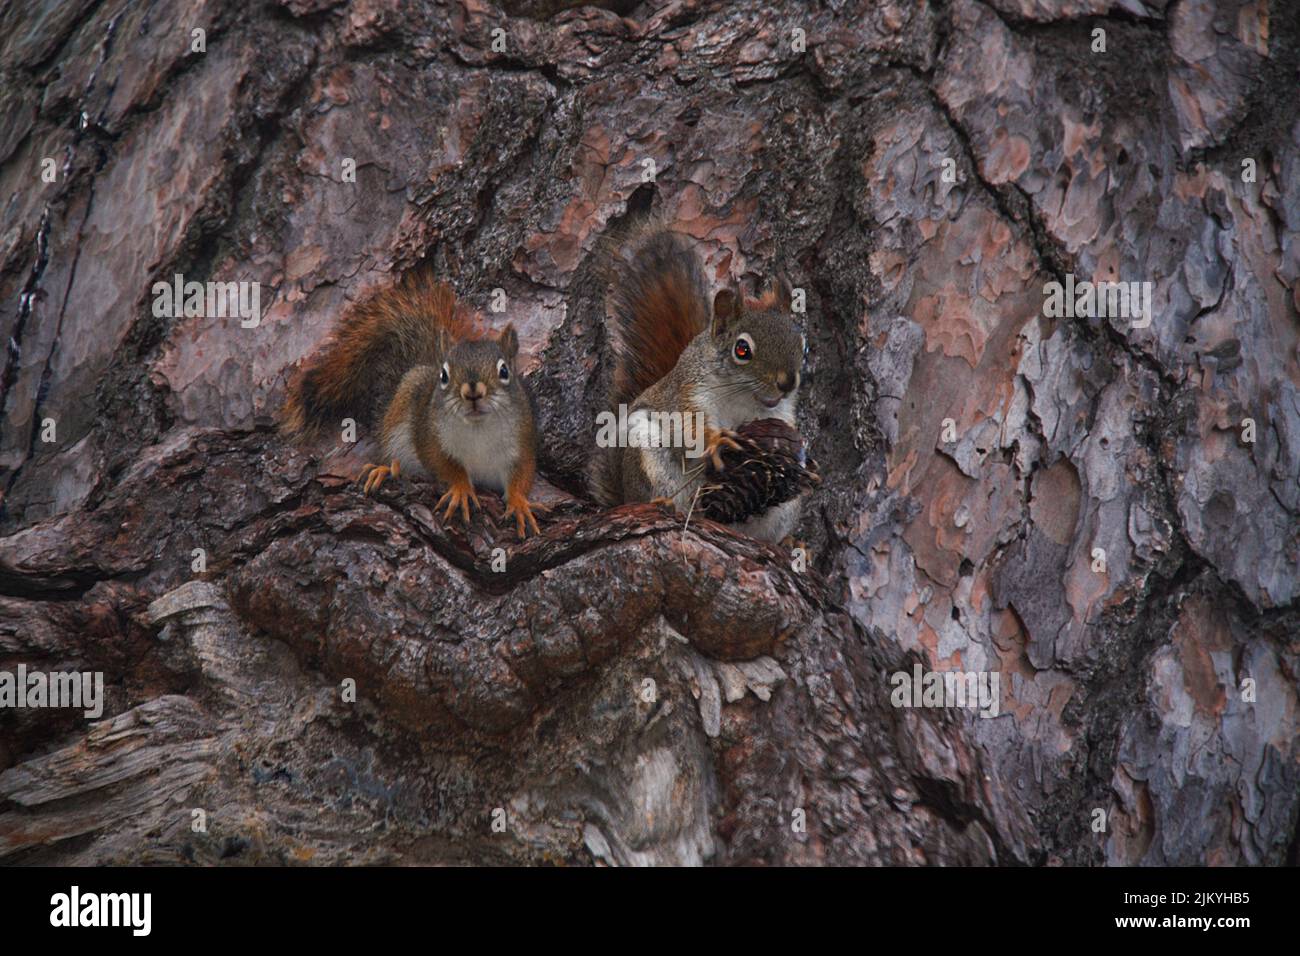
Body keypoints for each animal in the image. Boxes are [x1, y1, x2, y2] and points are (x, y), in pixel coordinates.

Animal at [283, 271, 542, 538]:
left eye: (504, 370)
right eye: (444, 375)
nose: (472, 392)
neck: (478, 428)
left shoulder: (522, 441)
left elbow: (522, 474)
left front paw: (519, 503)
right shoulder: (429, 436)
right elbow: (444, 465)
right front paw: (460, 489)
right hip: (401, 409)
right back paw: (386, 470)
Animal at [590, 226, 807, 543]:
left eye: (803, 345)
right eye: (742, 350)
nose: (787, 383)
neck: (744, 397)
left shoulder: (781, 414)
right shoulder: (689, 394)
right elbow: (690, 426)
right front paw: (716, 440)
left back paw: (788, 541)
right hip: (646, 449)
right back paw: (665, 504)